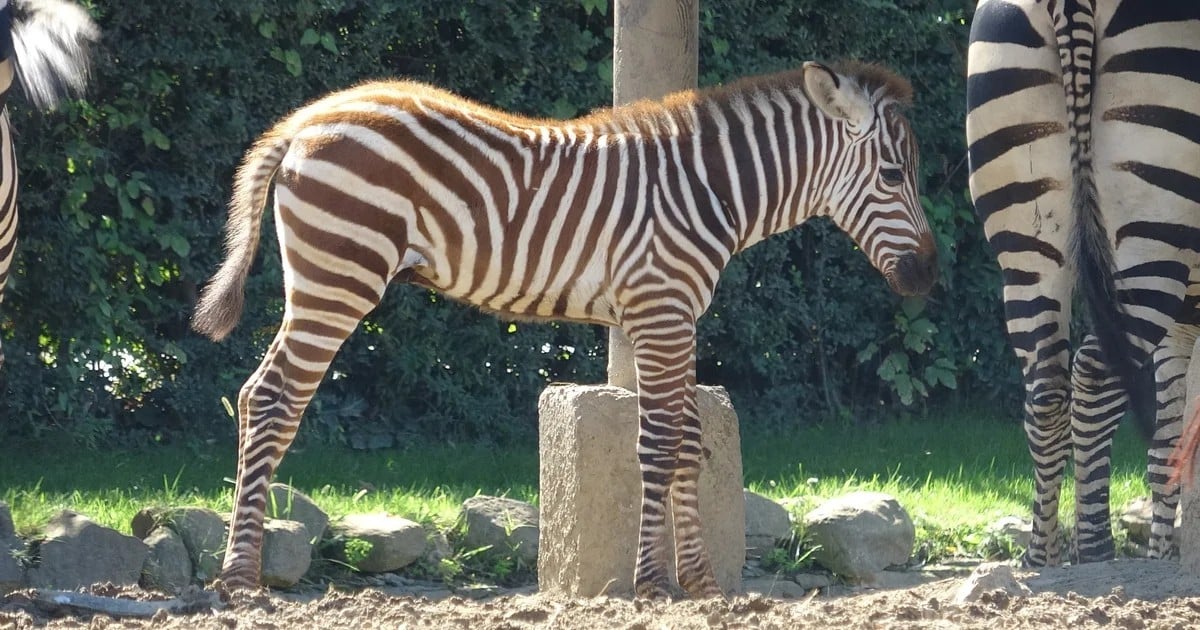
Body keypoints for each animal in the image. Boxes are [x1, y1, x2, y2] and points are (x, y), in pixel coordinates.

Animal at [193, 61, 938, 597]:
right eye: (893, 175)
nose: (927, 277)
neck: (710, 191)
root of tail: (308, 117)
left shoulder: (668, 319)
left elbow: (688, 442)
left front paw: (698, 583)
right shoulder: (661, 312)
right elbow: (660, 445)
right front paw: (650, 584)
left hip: (327, 279)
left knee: (259, 396)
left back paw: (241, 570)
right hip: (338, 276)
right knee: (271, 399)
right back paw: (239, 579)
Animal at [966, 0, 1200, 566]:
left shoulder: (1184, 322)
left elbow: (1167, 445)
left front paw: (1162, 559)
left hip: (1027, 231)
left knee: (1046, 389)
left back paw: (1044, 560)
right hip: (1154, 225)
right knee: (1095, 376)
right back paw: (1095, 551)